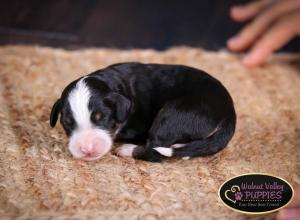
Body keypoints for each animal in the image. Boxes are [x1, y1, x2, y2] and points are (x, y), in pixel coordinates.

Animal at [49, 62, 237, 162]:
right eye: (67, 123)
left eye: (102, 118)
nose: (87, 149)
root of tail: (229, 113)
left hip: (173, 115)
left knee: (154, 150)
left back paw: (127, 150)